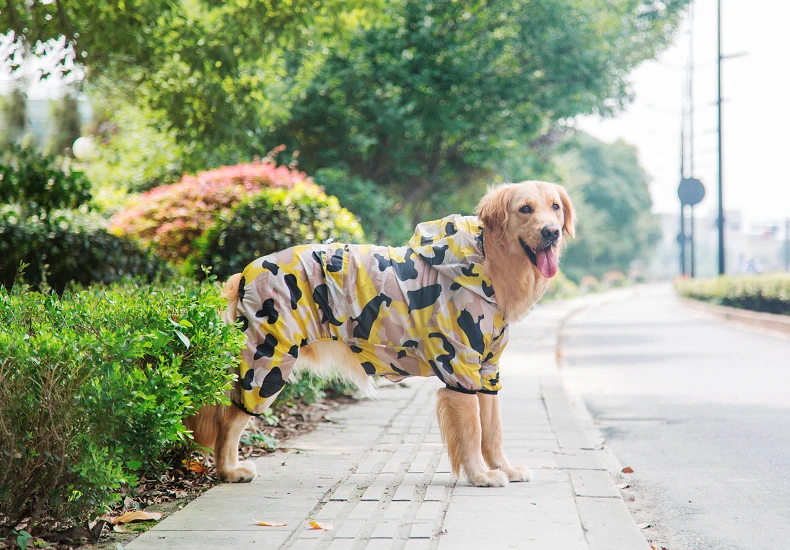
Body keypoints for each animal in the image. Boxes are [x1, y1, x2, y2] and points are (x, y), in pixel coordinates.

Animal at [184, 181, 576, 488]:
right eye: (525, 209)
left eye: (555, 207)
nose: (551, 232)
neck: (487, 262)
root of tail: (246, 271)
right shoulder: (460, 368)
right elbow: (473, 431)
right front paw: (481, 475)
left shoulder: (487, 370)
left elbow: (492, 429)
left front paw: (503, 468)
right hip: (267, 362)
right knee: (230, 419)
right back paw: (228, 470)